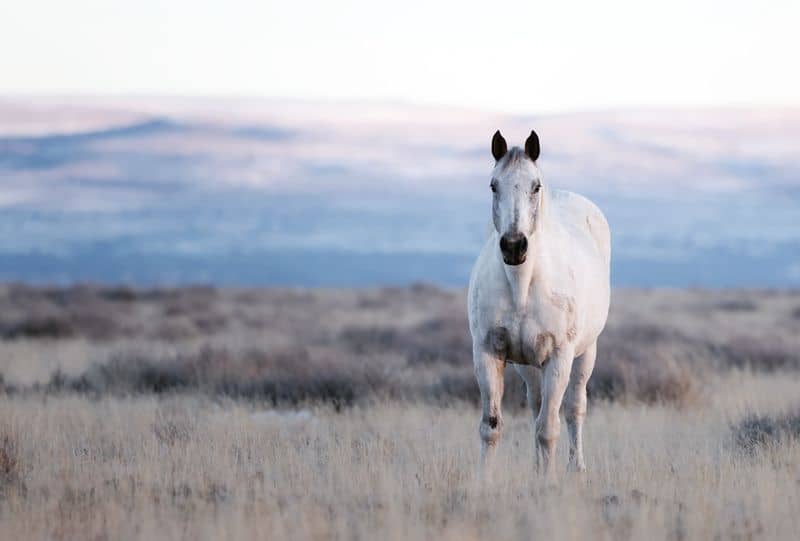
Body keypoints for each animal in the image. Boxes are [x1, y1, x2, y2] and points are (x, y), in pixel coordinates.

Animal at [466, 129, 608, 474]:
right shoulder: (488, 353)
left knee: (573, 408)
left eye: (536, 186)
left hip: (585, 352)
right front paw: (483, 481)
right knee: (536, 405)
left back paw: (576, 468)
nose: (514, 246)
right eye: (493, 185)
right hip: (527, 364)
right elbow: (491, 426)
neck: (522, 287)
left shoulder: (558, 357)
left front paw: (548, 481)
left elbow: (548, 429)